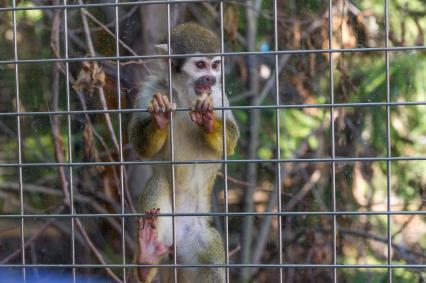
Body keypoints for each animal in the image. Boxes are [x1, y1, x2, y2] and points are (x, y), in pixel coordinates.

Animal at [128, 23, 238, 283]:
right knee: (158, 182)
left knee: (210, 247)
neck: (184, 95)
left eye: (215, 65)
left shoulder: (217, 95)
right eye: (200, 65)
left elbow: (230, 142)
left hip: (196, 239)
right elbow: (139, 143)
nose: (210, 78)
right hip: (164, 236)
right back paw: (146, 259)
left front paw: (208, 120)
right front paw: (159, 118)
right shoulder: (152, 88)